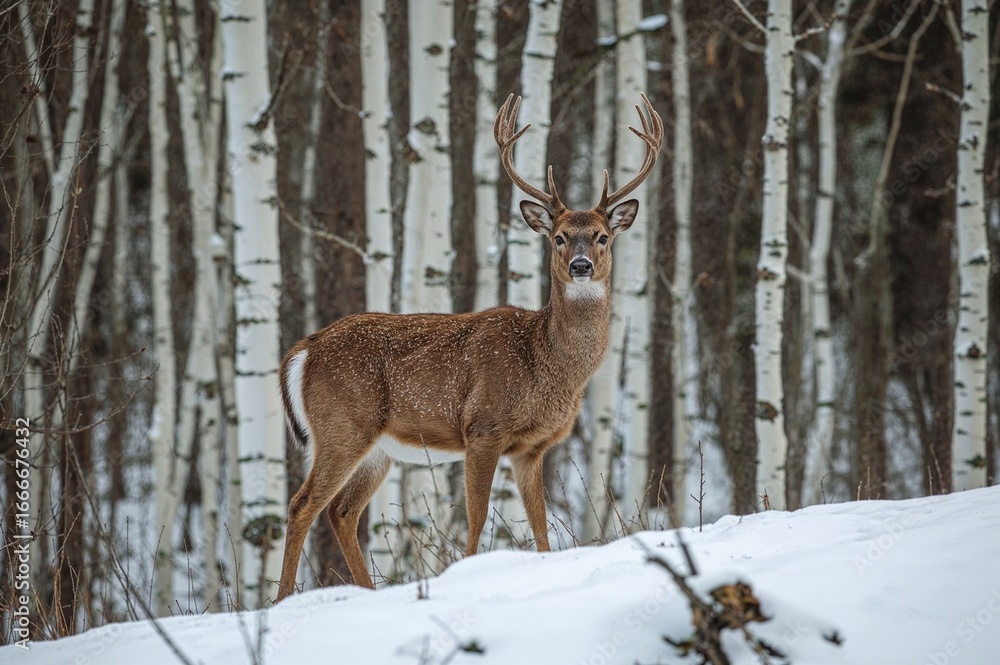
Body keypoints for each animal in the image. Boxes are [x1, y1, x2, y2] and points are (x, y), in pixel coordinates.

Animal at [275, 93, 662, 600]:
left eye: (601, 236)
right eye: (559, 237)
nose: (581, 265)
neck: (544, 361)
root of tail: (304, 348)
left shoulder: (532, 448)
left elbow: (542, 532)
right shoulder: (483, 427)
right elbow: (476, 523)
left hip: (376, 446)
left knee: (342, 511)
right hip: (342, 425)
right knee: (303, 505)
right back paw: (279, 600)